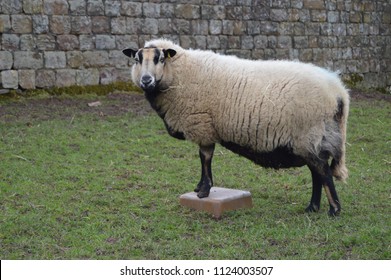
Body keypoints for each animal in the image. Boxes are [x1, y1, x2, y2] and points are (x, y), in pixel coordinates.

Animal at [124, 37, 350, 217]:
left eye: (160, 59)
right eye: (137, 60)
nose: (146, 80)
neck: (180, 75)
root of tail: (339, 91)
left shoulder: (203, 126)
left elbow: (205, 158)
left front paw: (203, 191)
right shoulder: (206, 128)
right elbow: (203, 159)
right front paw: (199, 188)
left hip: (310, 134)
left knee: (322, 171)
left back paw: (334, 210)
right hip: (312, 138)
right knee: (316, 172)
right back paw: (312, 207)